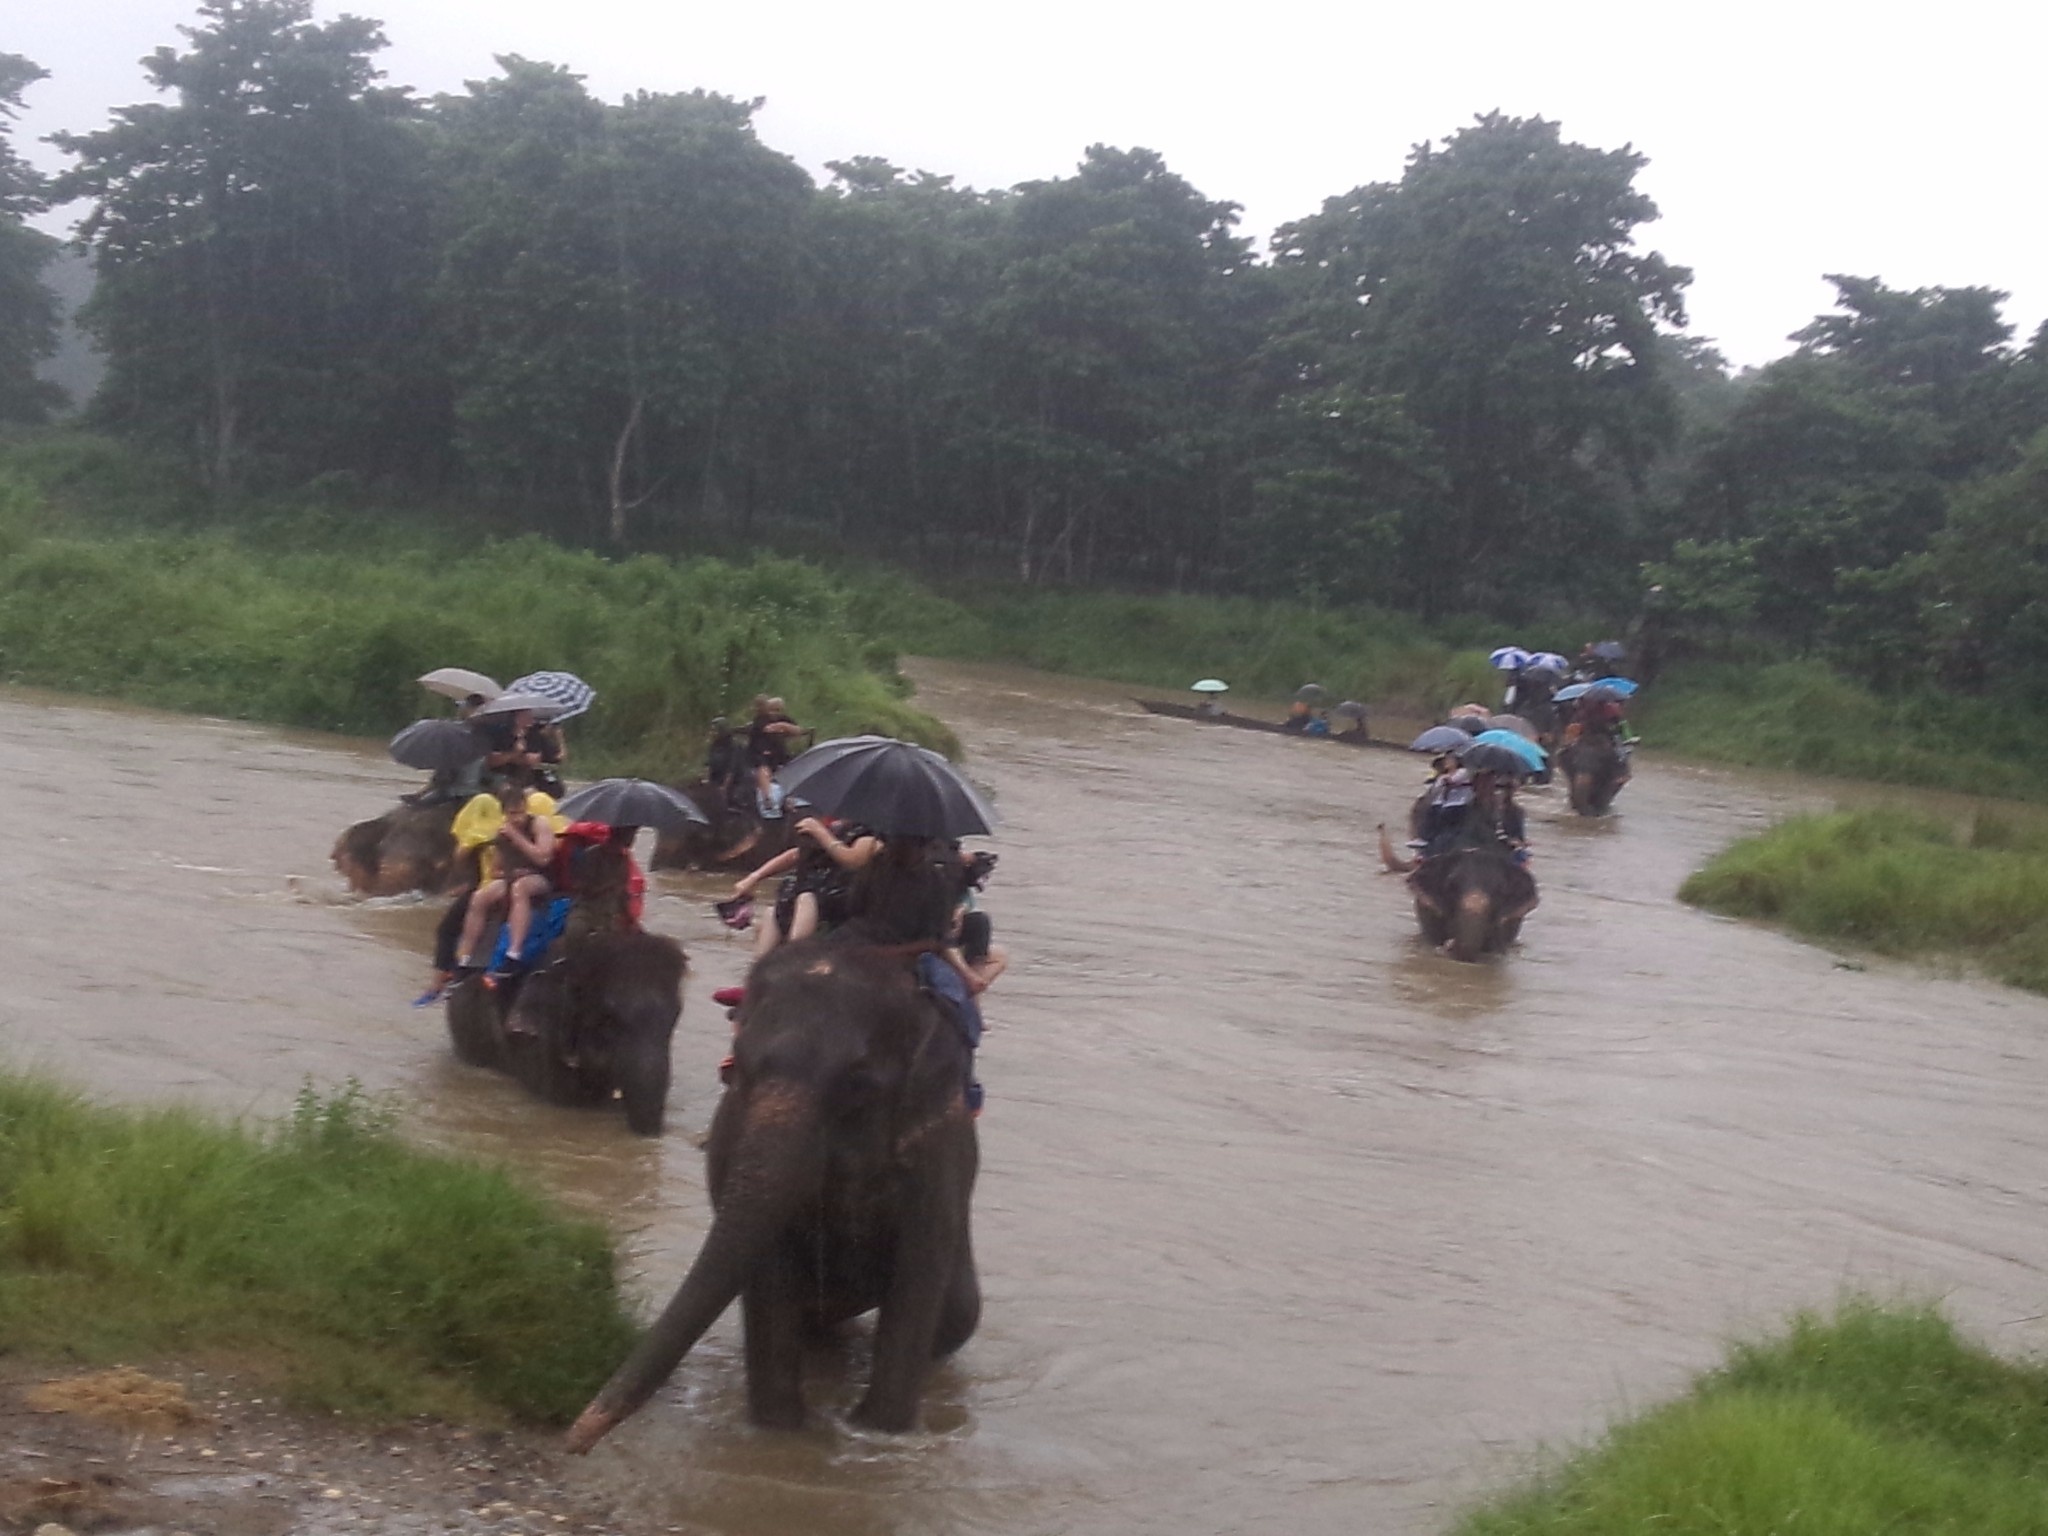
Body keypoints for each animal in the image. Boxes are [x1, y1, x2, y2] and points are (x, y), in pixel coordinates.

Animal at [561, 933, 974, 1449]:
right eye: (738, 1066)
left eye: (859, 1083)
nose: (575, 1440)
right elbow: (770, 1270)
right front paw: (781, 1435)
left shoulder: (937, 1152)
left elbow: (918, 1274)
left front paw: (877, 1435)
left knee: (957, 1318)